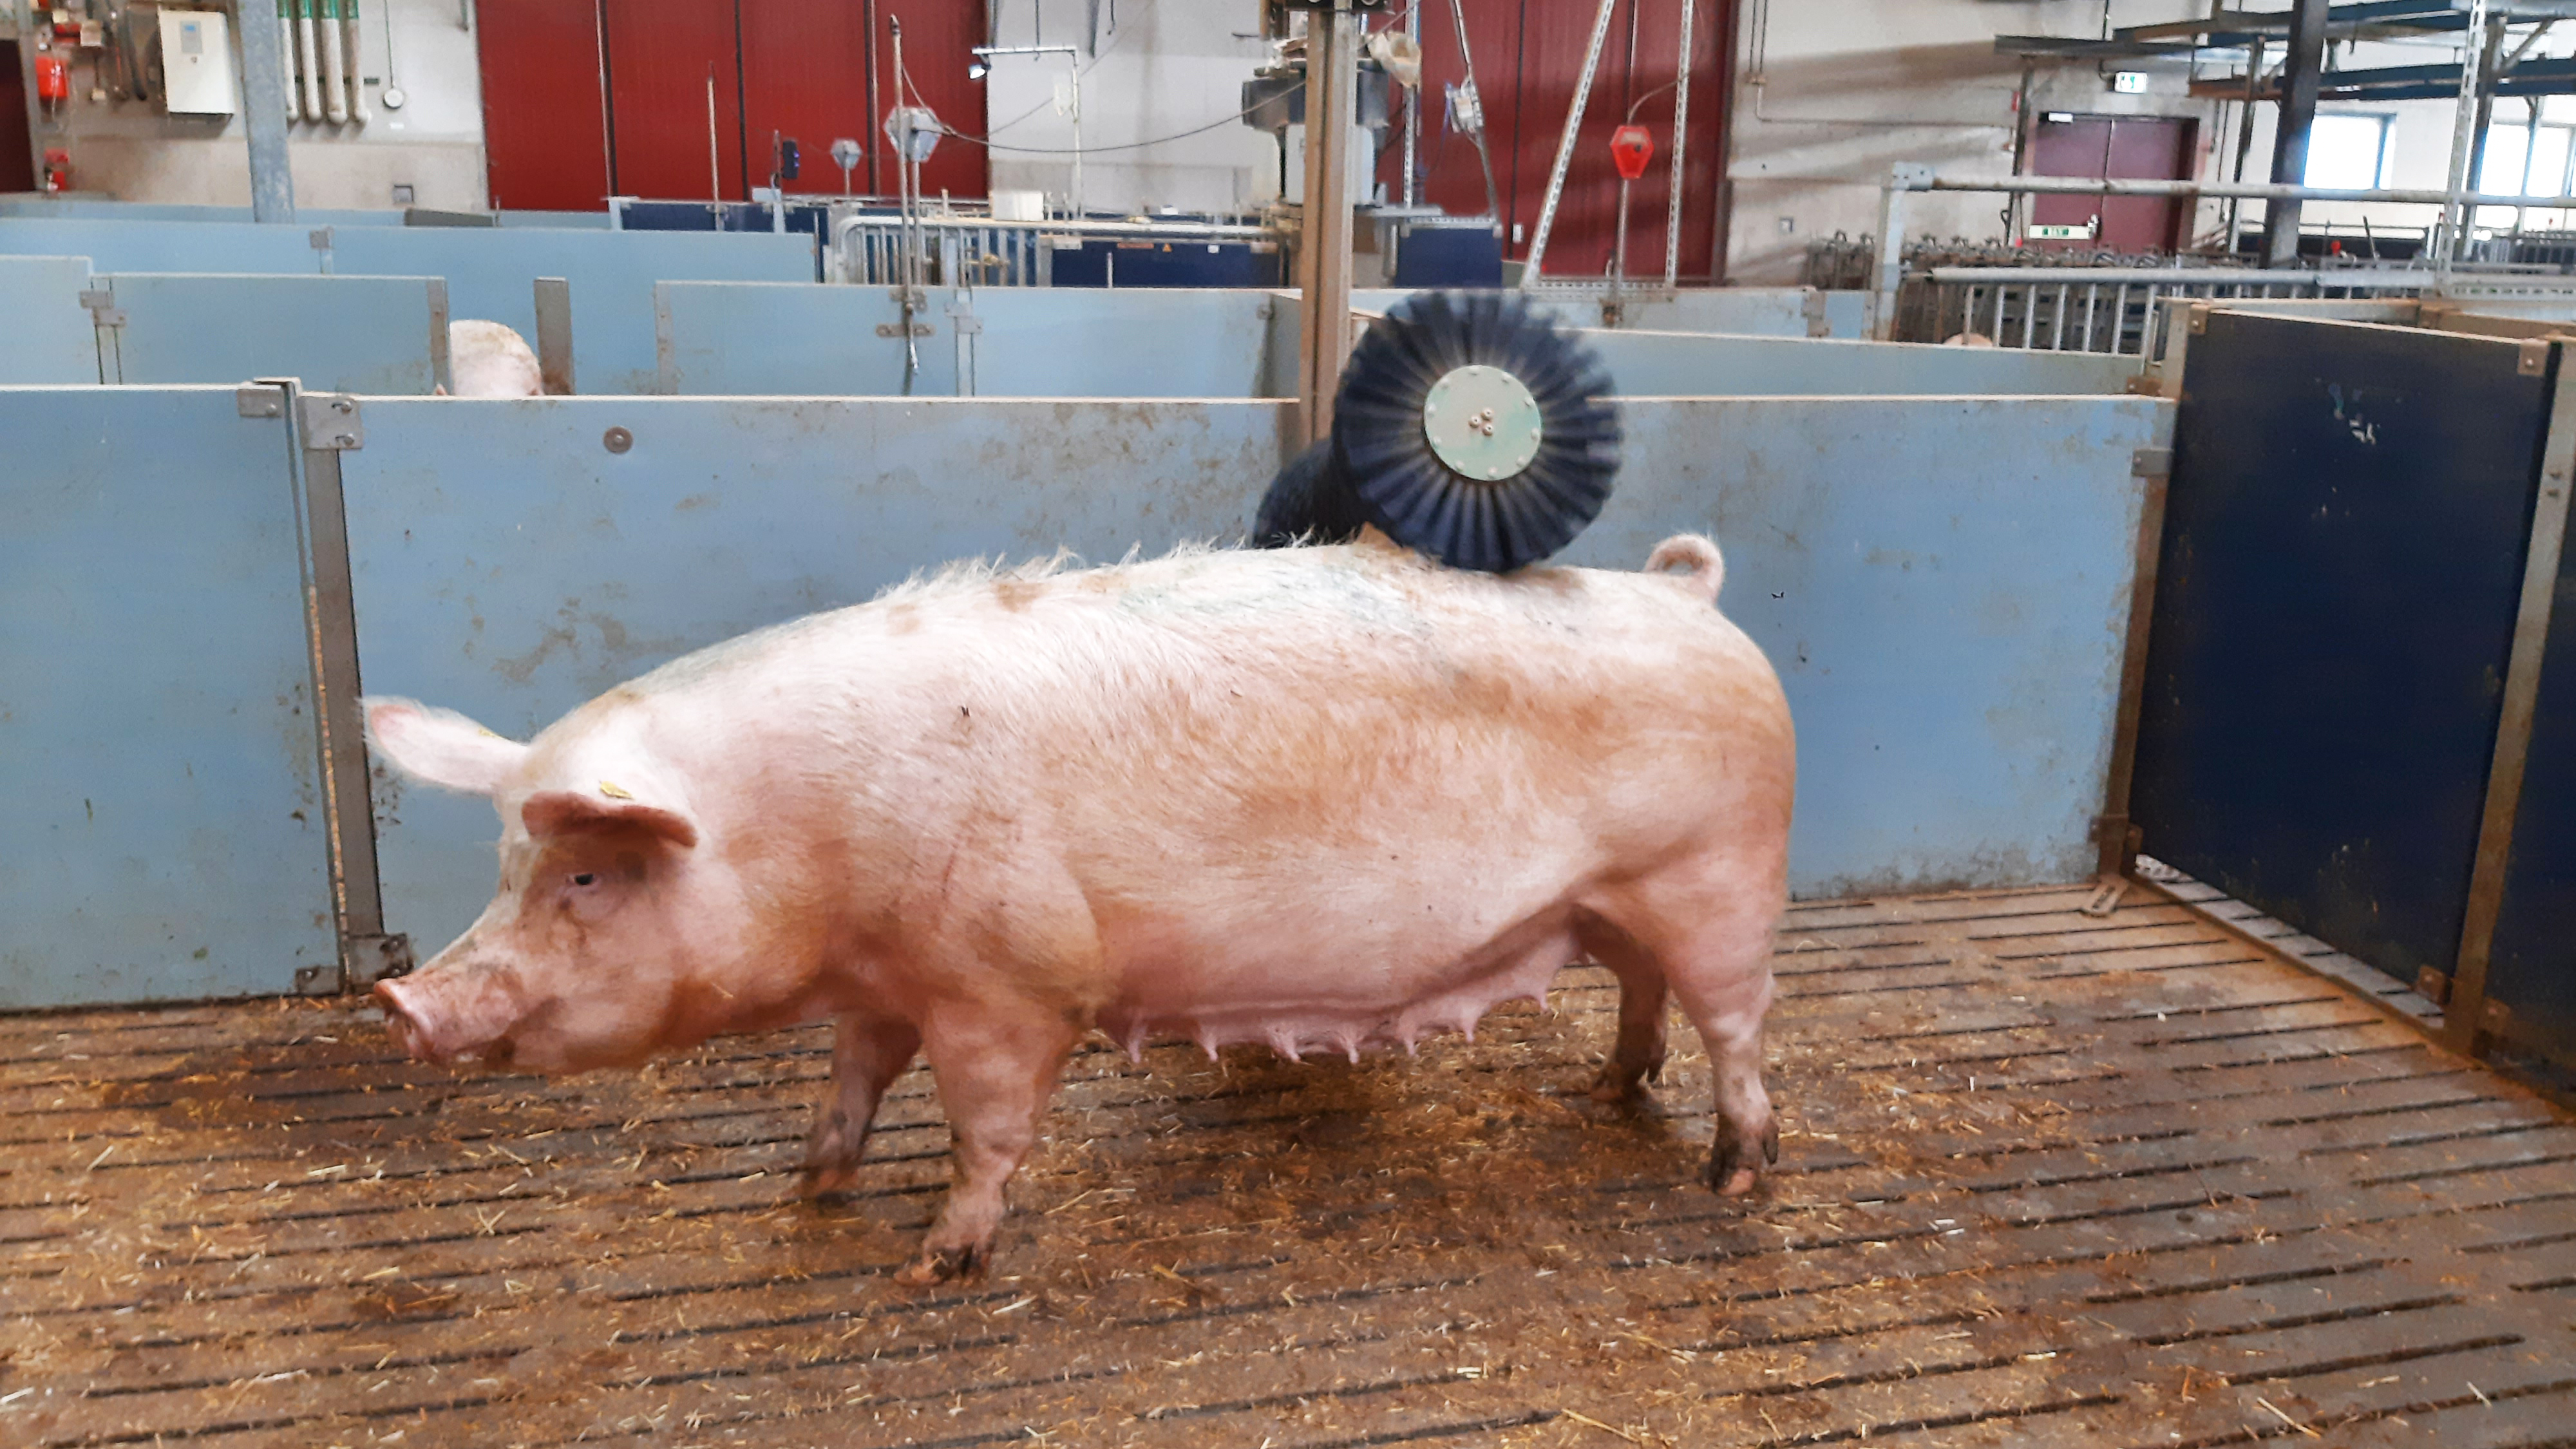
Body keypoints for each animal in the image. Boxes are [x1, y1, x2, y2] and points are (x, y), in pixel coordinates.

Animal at [364, 534, 1795, 1284]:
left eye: (585, 875)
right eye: (506, 863)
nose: (401, 998)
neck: (809, 842)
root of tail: (1688, 592)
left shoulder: (1003, 988)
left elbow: (985, 1130)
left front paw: (937, 1261)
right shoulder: (886, 986)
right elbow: (850, 1084)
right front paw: (812, 1190)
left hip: (1716, 880)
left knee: (1736, 1034)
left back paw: (1730, 1178)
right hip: (1619, 904)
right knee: (1643, 994)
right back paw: (1603, 1095)